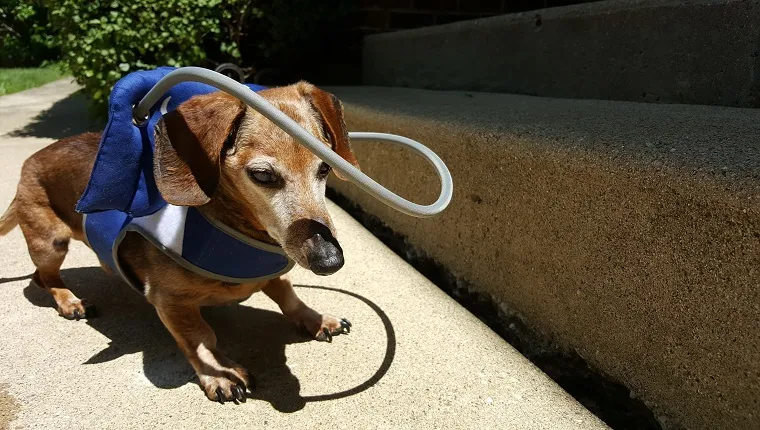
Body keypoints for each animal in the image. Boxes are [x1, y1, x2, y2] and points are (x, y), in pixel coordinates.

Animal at [0, 81, 360, 404]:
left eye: (325, 168)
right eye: (263, 176)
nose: (330, 260)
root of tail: (32, 158)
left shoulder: (273, 274)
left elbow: (289, 297)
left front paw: (317, 319)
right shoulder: (169, 301)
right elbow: (199, 338)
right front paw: (219, 373)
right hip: (51, 243)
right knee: (45, 277)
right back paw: (69, 300)